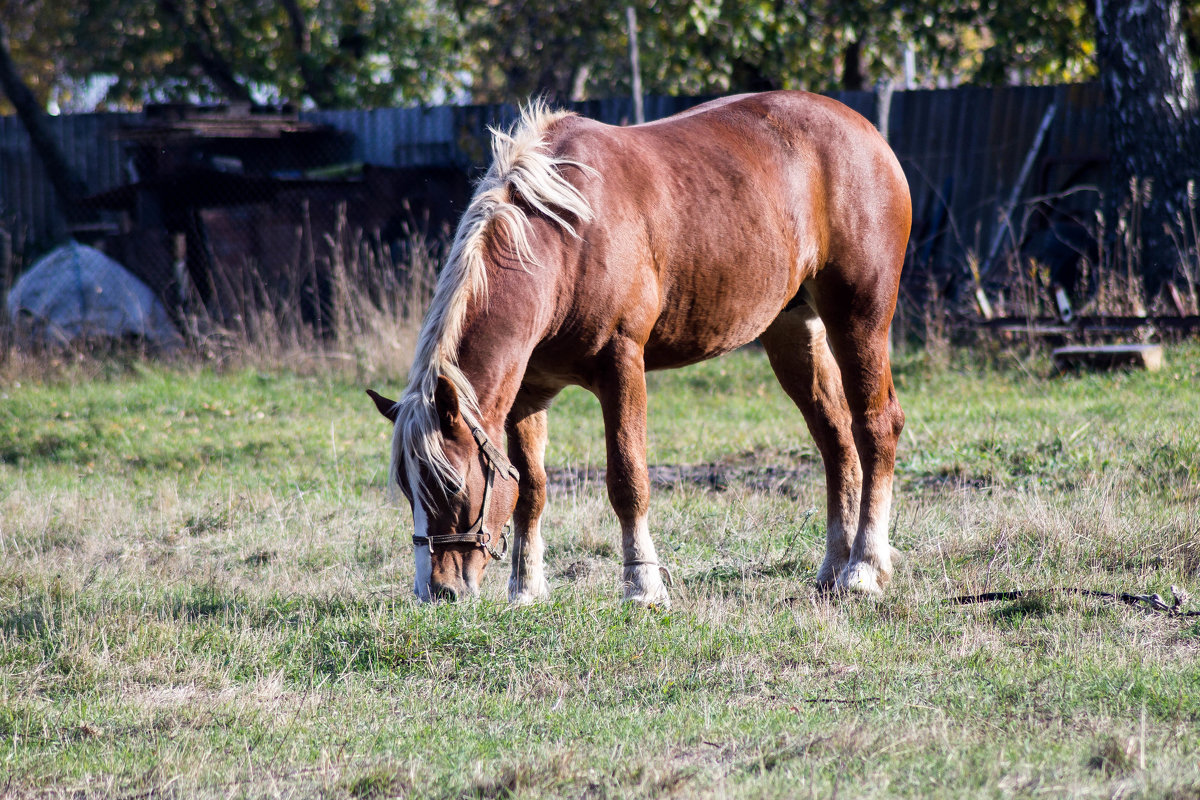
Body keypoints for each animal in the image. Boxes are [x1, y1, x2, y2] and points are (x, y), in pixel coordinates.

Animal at [364, 90, 907, 604]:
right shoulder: (526, 394)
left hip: (859, 319)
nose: (438, 591)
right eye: (407, 488)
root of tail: (867, 133)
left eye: (450, 484)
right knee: (835, 440)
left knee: (875, 427)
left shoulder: (622, 364)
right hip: (793, 331)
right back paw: (834, 569)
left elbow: (628, 480)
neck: (567, 233)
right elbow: (530, 489)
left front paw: (642, 585)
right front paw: (526, 590)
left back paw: (863, 568)